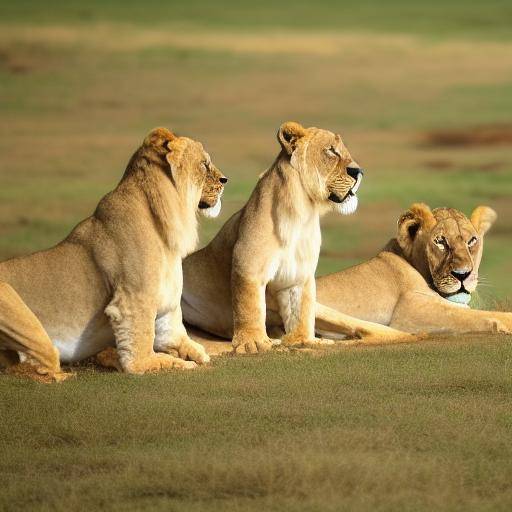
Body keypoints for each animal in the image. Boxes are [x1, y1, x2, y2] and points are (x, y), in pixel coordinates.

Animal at [0, 126, 228, 378]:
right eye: (205, 164)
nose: (225, 180)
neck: (164, 224)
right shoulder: (132, 301)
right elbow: (141, 357)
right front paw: (175, 363)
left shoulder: (167, 311)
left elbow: (184, 340)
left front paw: (198, 354)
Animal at [180, 120, 416, 354]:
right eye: (331, 150)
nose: (359, 171)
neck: (301, 214)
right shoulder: (249, 266)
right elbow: (249, 306)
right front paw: (253, 343)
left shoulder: (299, 275)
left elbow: (300, 311)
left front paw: (302, 340)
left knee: (364, 327)